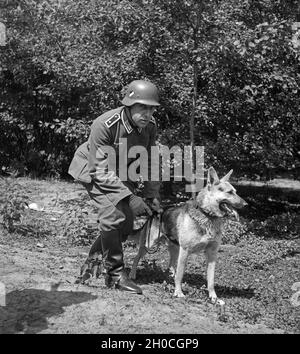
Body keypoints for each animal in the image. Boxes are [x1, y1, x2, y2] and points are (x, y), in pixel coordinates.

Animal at [127, 167, 247, 302]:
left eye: (235, 192)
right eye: (230, 192)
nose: (246, 204)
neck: (207, 216)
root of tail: (155, 212)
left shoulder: (212, 254)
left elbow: (211, 280)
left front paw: (214, 298)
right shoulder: (185, 251)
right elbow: (180, 275)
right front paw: (178, 292)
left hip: (174, 248)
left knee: (171, 266)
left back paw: (169, 278)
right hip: (149, 245)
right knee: (137, 258)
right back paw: (132, 274)